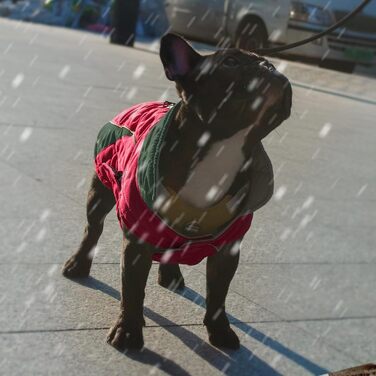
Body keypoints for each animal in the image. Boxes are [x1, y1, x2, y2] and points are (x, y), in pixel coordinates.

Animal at [62, 33, 290, 352]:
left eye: (266, 62)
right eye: (231, 62)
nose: (269, 66)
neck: (222, 149)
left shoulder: (227, 249)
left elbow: (218, 295)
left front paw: (220, 332)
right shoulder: (138, 240)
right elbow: (132, 289)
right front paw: (128, 331)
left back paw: (170, 275)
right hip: (100, 191)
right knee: (92, 229)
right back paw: (78, 264)